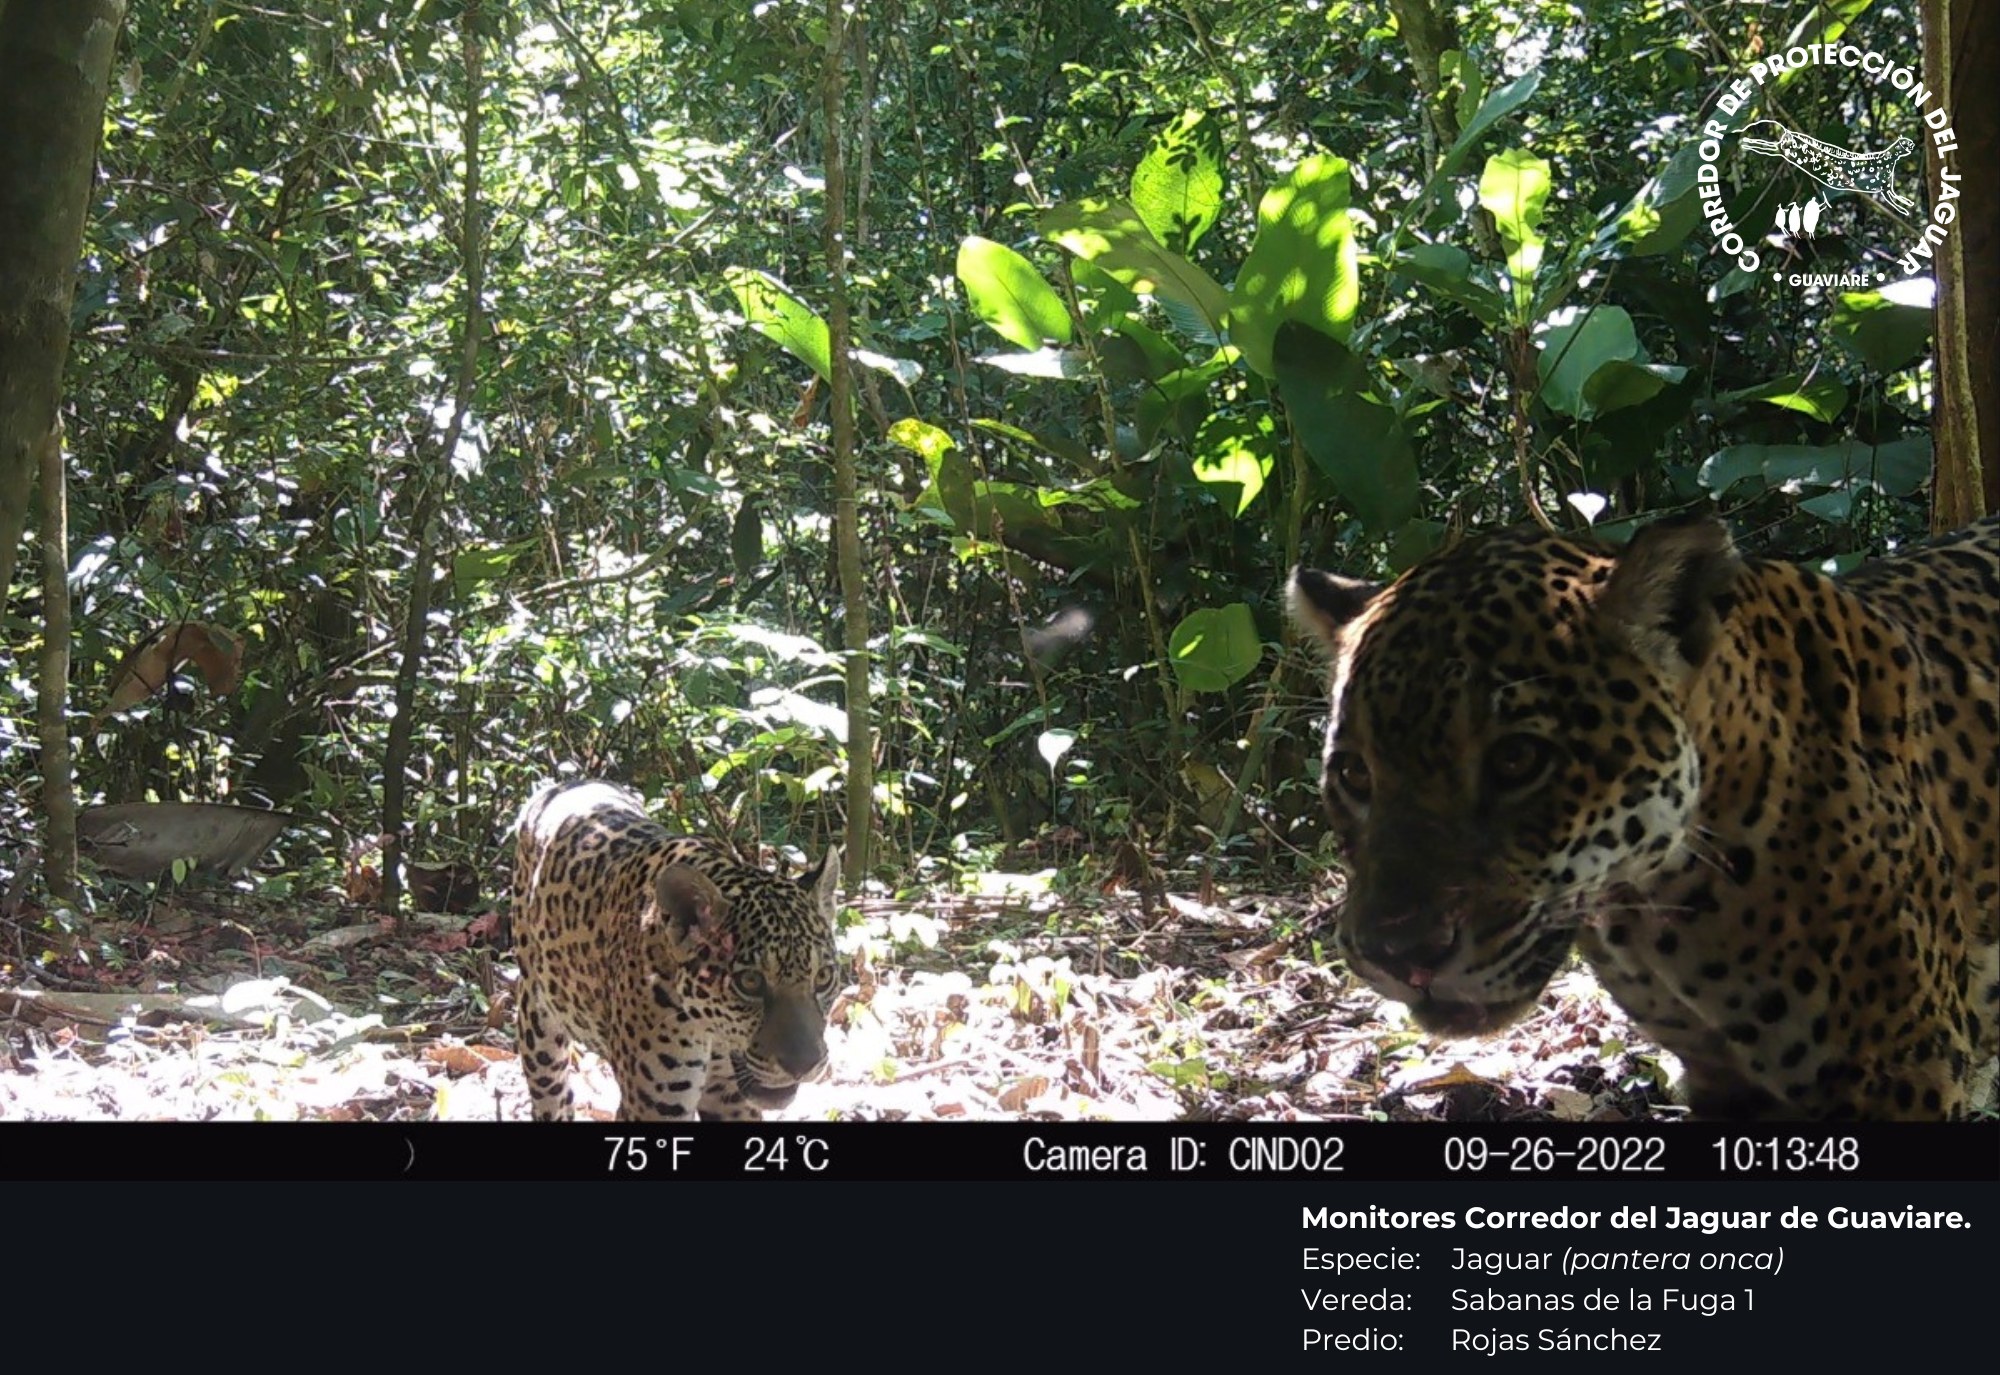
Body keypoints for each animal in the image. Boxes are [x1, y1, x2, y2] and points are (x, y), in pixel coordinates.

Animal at [511, 779, 842, 1121]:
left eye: (823, 977)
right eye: (750, 982)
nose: (804, 1065)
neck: (711, 1032)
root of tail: (567, 784)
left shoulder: (729, 1098)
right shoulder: (654, 1107)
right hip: (538, 1022)